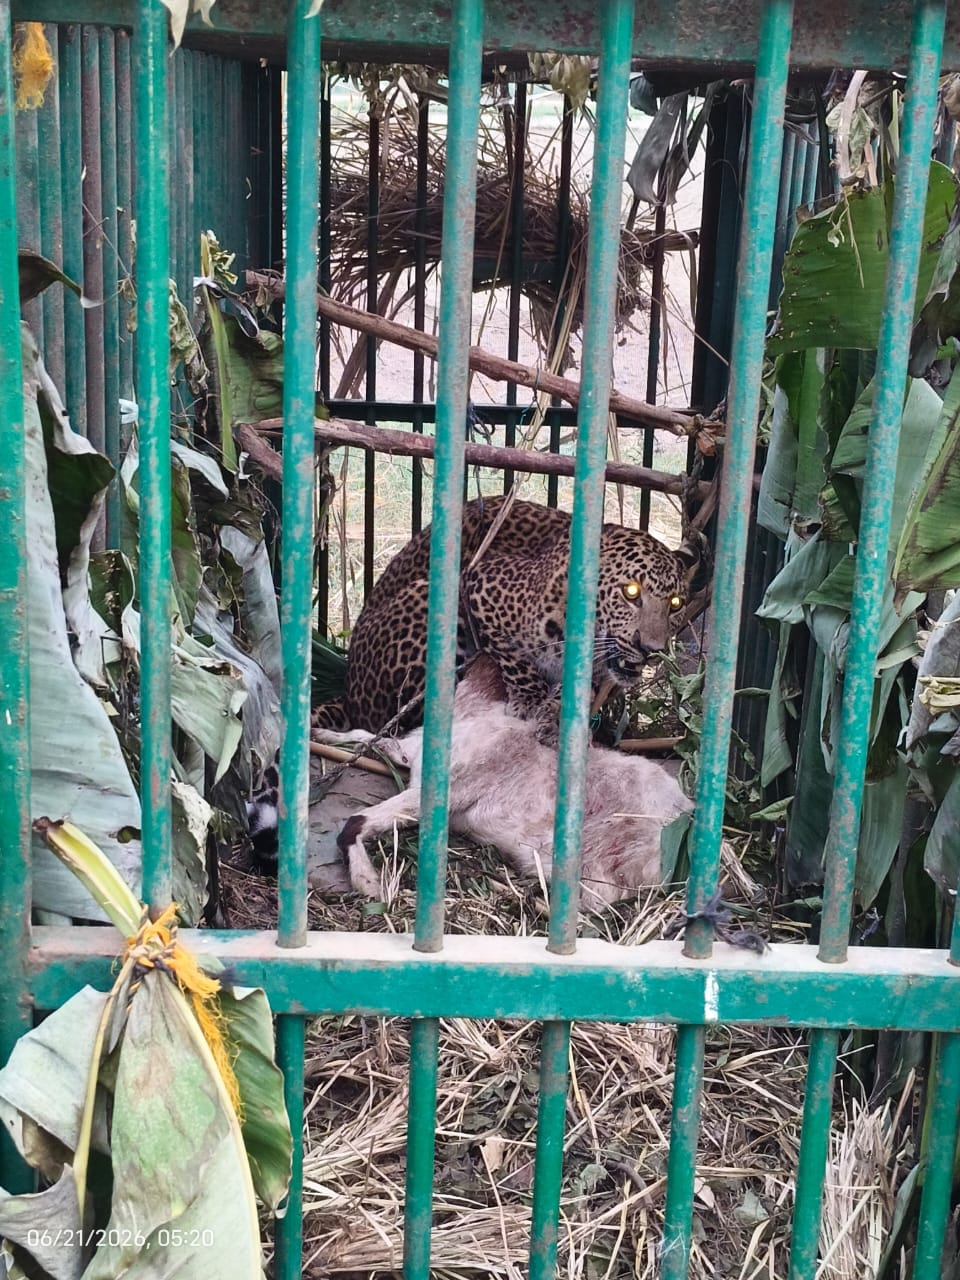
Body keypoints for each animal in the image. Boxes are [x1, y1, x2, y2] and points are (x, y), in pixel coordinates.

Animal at [323, 495, 703, 735]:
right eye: (631, 593)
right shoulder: (480, 584)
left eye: (675, 603)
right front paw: (531, 700)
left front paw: (554, 714)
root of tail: (349, 693)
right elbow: (515, 659)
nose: (650, 648)